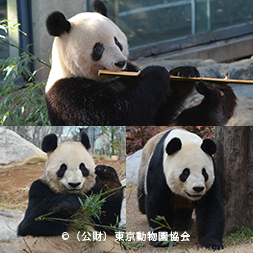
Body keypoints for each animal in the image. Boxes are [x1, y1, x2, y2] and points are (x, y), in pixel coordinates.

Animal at [44, 0, 236, 126]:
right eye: (98, 48)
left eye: (117, 42)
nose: (120, 62)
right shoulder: (69, 95)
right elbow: (122, 114)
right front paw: (156, 73)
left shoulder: (128, 73)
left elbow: (161, 112)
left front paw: (183, 73)